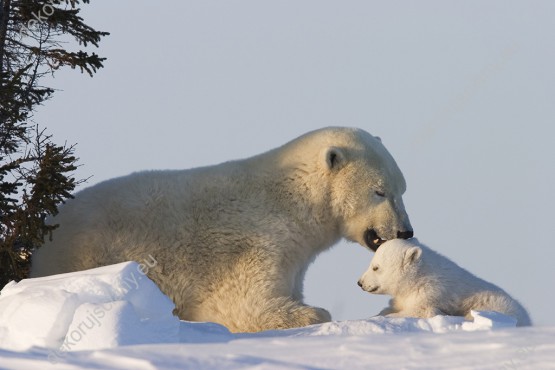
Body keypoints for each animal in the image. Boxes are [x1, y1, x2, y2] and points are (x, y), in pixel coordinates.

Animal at [31, 127, 412, 332]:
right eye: (380, 191)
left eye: (402, 188)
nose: (405, 232)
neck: (289, 200)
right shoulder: (254, 245)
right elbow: (248, 307)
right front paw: (313, 314)